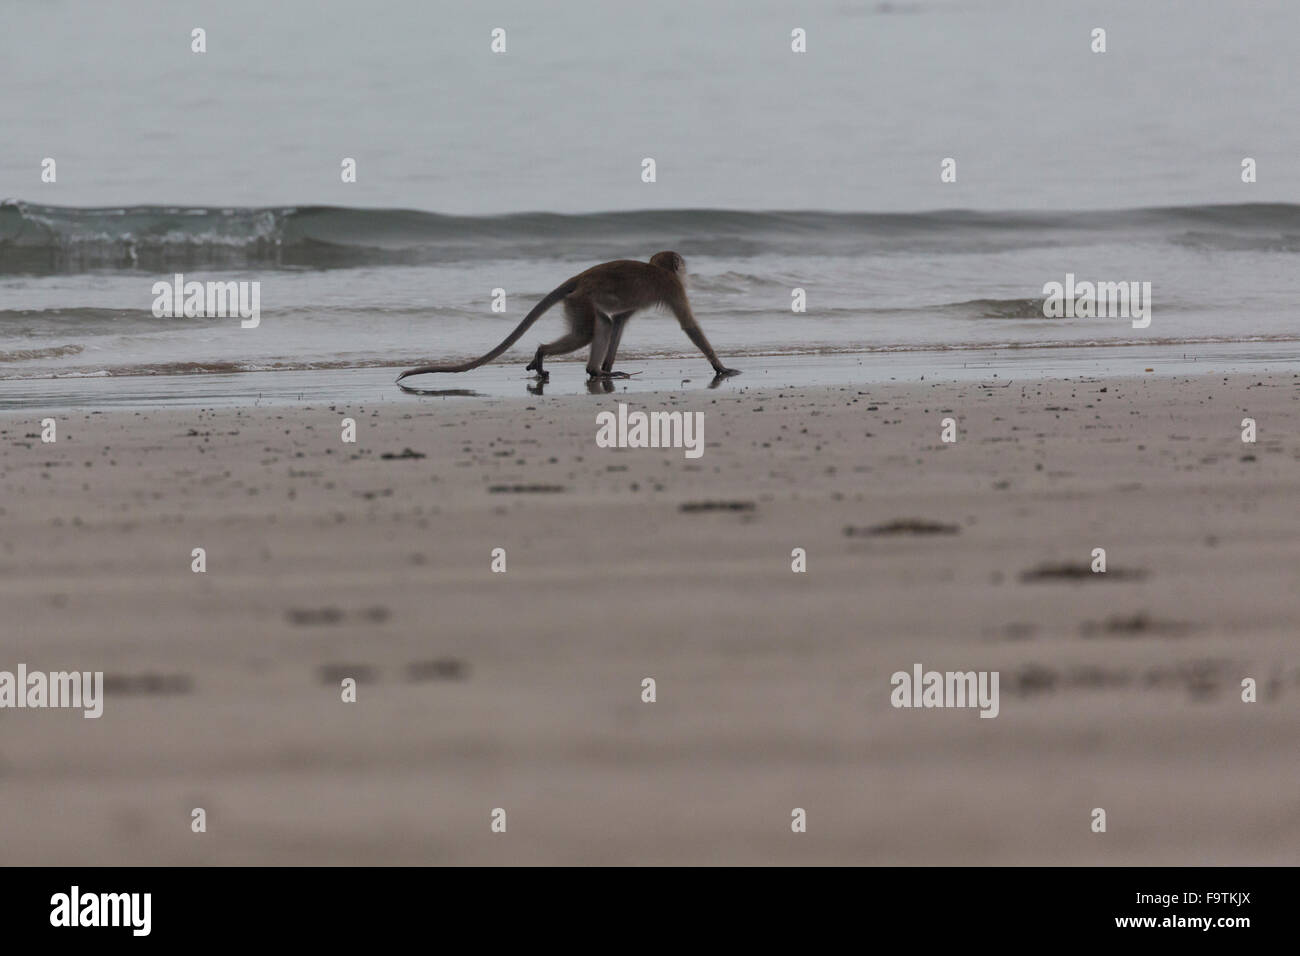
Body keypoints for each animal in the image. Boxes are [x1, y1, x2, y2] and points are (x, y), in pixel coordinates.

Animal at [392, 252, 743, 382]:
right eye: (679, 265)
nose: (686, 268)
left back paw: (597, 371)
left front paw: (609, 365)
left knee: (604, 324)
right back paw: (554, 357)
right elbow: (688, 325)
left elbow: (620, 321)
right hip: (580, 301)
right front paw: (719, 366)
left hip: (578, 302)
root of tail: (579, 278)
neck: (656, 268)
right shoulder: (672, 287)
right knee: (592, 329)